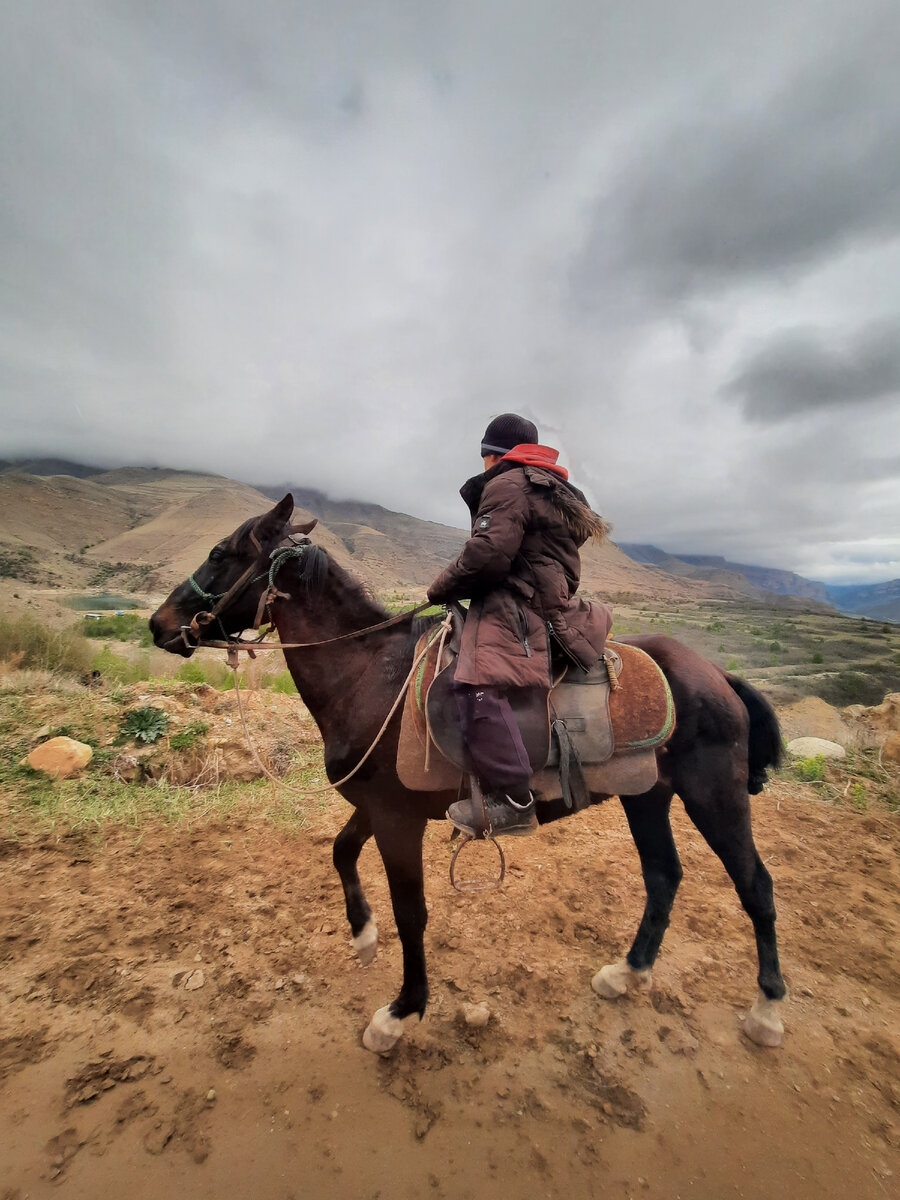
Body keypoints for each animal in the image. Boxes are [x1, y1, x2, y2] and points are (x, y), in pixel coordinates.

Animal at [150, 492, 787, 1056]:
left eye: (220, 551)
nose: (159, 624)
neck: (368, 675)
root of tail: (718, 675)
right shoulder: (380, 808)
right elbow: (341, 851)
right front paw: (363, 936)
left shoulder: (397, 819)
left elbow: (411, 912)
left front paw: (400, 1013)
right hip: (647, 796)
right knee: (663, 876)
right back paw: (628, 973)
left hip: (714, 795)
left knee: (754, 885)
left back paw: (767, 1011)